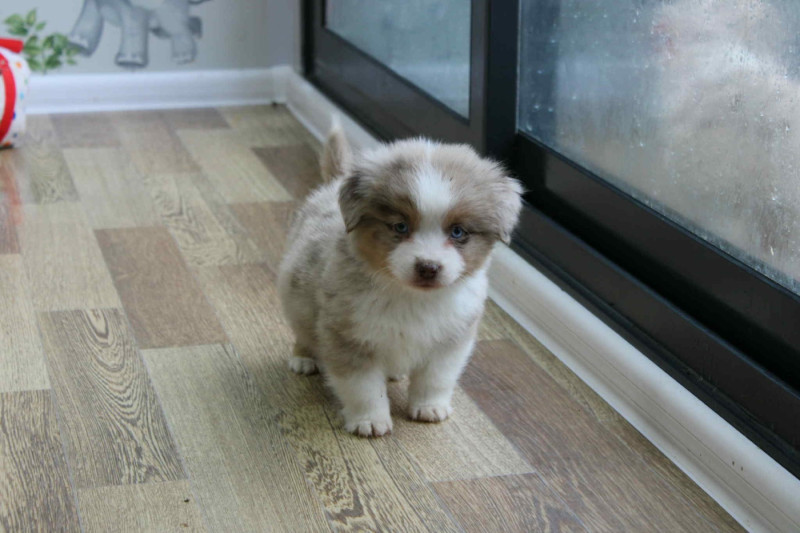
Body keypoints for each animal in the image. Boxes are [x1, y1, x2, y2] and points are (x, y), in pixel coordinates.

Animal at [277, 122, 522, 437]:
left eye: (457, 232)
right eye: (400, 227)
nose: (428, 267)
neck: (412, 298)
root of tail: (333, 183)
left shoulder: (450, 340)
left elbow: (435, 379)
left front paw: (429, 407)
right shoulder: (348, 337)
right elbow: (364, 388)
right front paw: (370, 421)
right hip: (297, 297)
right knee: (302, 329)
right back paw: (304, 359)